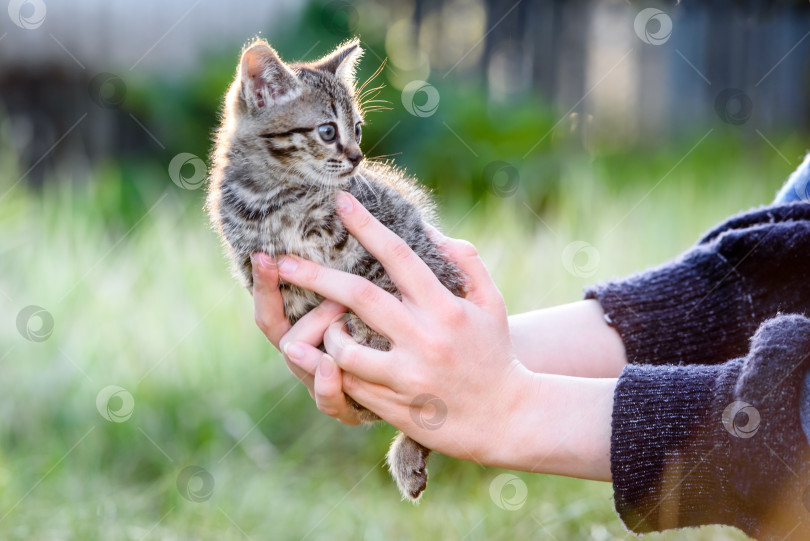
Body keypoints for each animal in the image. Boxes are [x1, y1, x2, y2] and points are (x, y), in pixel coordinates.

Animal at [205, 38, 464, 500]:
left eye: (357, 128)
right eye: (327, 131)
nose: (358, 157)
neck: (276, 196)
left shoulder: (384, 236)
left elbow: (382, 285)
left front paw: (373, 340)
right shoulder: (265, 272)